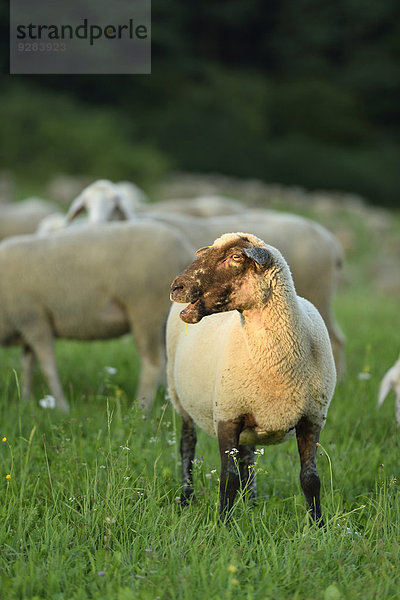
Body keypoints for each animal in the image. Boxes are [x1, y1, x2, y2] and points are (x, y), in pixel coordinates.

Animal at [0, 220, 194, 412]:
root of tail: (185, 250)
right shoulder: (27, 325)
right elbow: (27, 366)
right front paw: (25, 401)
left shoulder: (34, 319)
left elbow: (48, 368)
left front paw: (62, 408)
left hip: (146, 310)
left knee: (152, 364)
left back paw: (140, 408)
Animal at [167, 232, 336, 524]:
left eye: (236, 257)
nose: (177, 287)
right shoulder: (227, 415)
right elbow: (228, 479)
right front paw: (222, 524)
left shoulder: (313, 418)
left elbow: (310, 479)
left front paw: (318, 525)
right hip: (181, 399)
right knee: (187, 447)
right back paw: (186, 498)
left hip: (251, 414)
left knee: (247, 459)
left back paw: (252, 503)